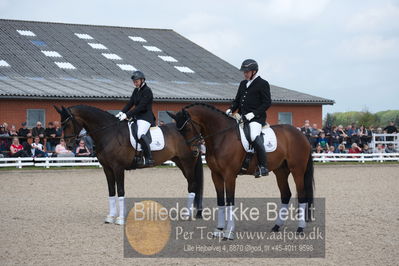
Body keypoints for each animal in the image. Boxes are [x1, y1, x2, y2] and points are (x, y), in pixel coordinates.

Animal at [55, 105, 205, 224]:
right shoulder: (107, 168)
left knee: (192, 185)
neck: (109, 133)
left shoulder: (118, 168)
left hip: (187, 162)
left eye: (67, 124)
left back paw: (187, 214)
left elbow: (121, 191)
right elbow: (111, 191)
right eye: (61, 124)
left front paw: (120, 219)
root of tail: (195, 136)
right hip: (180, 162)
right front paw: (110, 217)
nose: (69, 145)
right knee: (191, 184)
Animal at [167, 103, 314, 238]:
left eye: (187, 127)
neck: (222, 136)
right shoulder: (216, 175)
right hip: (281, 171)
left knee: (302, 195)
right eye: (179, 131)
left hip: (297, 170)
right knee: (285, 194)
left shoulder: (230, 175)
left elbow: (230, 201)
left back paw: (300, 229)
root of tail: (301, 134)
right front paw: (219, 229)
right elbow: (220, 201)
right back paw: (276, 226)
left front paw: (229, 232)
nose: (194, 152)